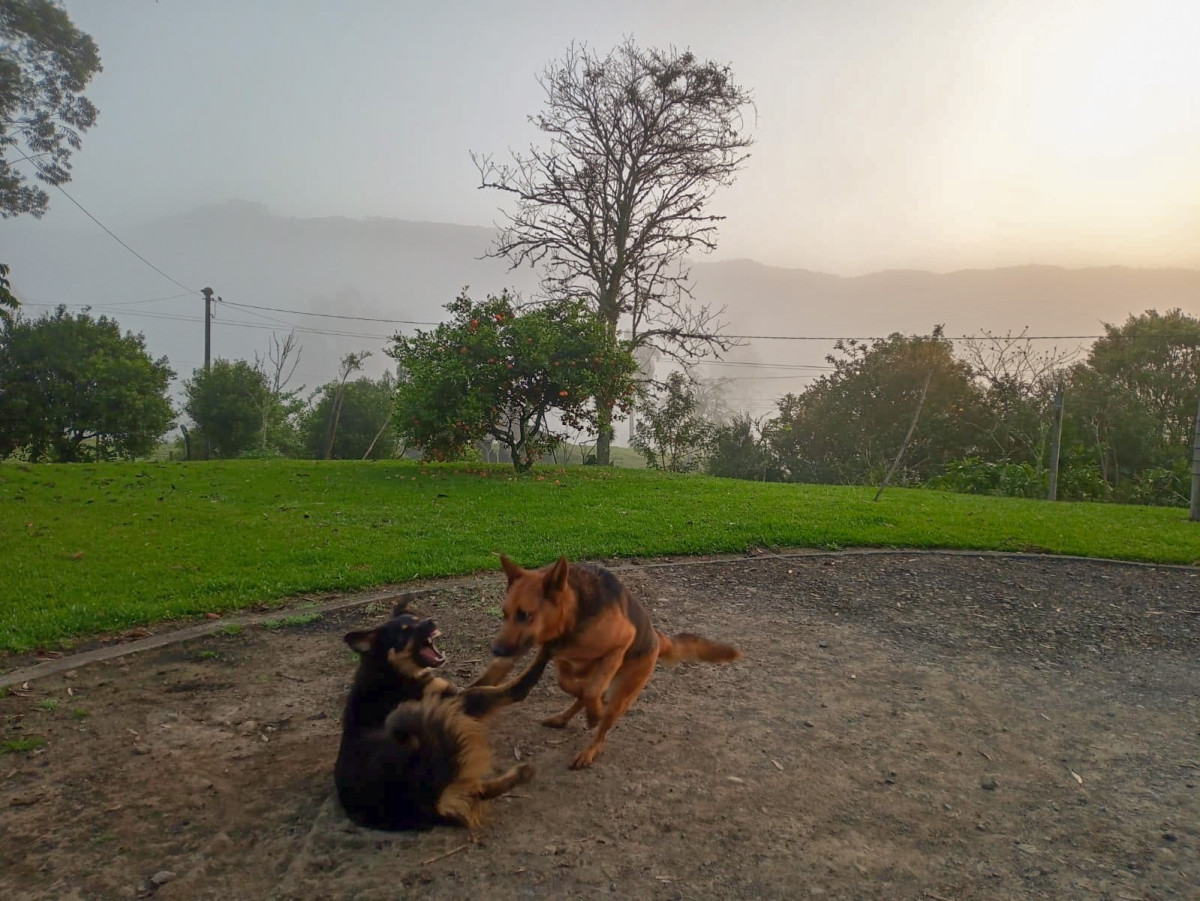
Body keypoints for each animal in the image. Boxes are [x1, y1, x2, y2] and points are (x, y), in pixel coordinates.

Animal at [333, 595, 549, 835]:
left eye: (416, 618)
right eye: (403, 633)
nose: (430, 621)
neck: (391, 670)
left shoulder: (453, 695)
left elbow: (494, 670)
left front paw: (520, 648)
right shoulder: (456, 701)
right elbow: (501, 690)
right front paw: (541, 655)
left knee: (470, 790)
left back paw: (522, 774)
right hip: (427, 723)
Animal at [477, 556, 739, 767]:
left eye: (525, 615)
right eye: (505, 614)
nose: (496, 650)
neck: (573, 617)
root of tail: (656, 638)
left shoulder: (619, 645)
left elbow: (592, 691)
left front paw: (594, 713)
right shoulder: (561, 659)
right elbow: (571, 685)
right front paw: (586, 702)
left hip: (623, 692)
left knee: (603, 727)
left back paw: (590, 747)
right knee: (583, 694)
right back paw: (565, 717)